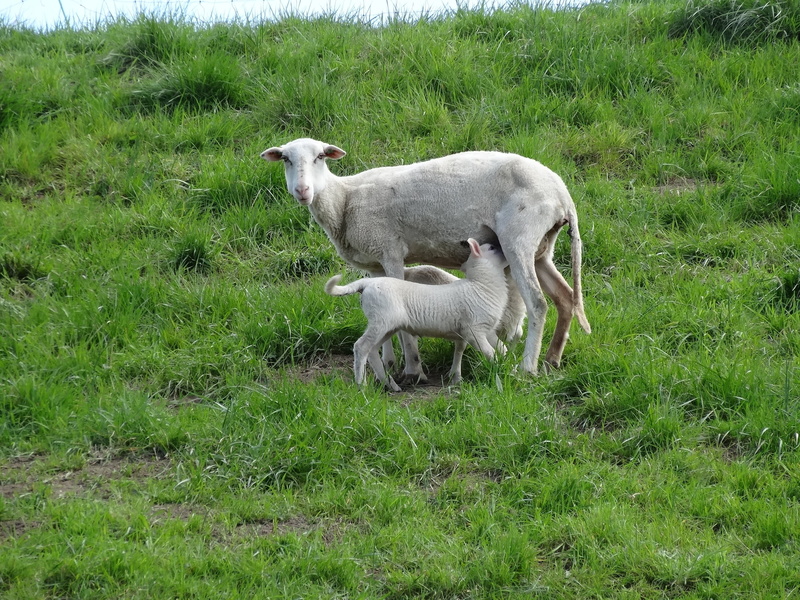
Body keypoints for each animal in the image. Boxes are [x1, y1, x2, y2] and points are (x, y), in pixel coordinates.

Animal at [325, 238, 509, 391]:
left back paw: (391, 385)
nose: (504, 246)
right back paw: (362, 386)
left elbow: (500, 348)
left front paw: (509, 368)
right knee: (361, 347)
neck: (481, 285)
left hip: (388, 326)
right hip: (381, 321)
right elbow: (490, 353)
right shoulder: (473, 331)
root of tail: (368, 282)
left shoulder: (482, 330)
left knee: (372, 351)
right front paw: (499, 370)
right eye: (492, 248)